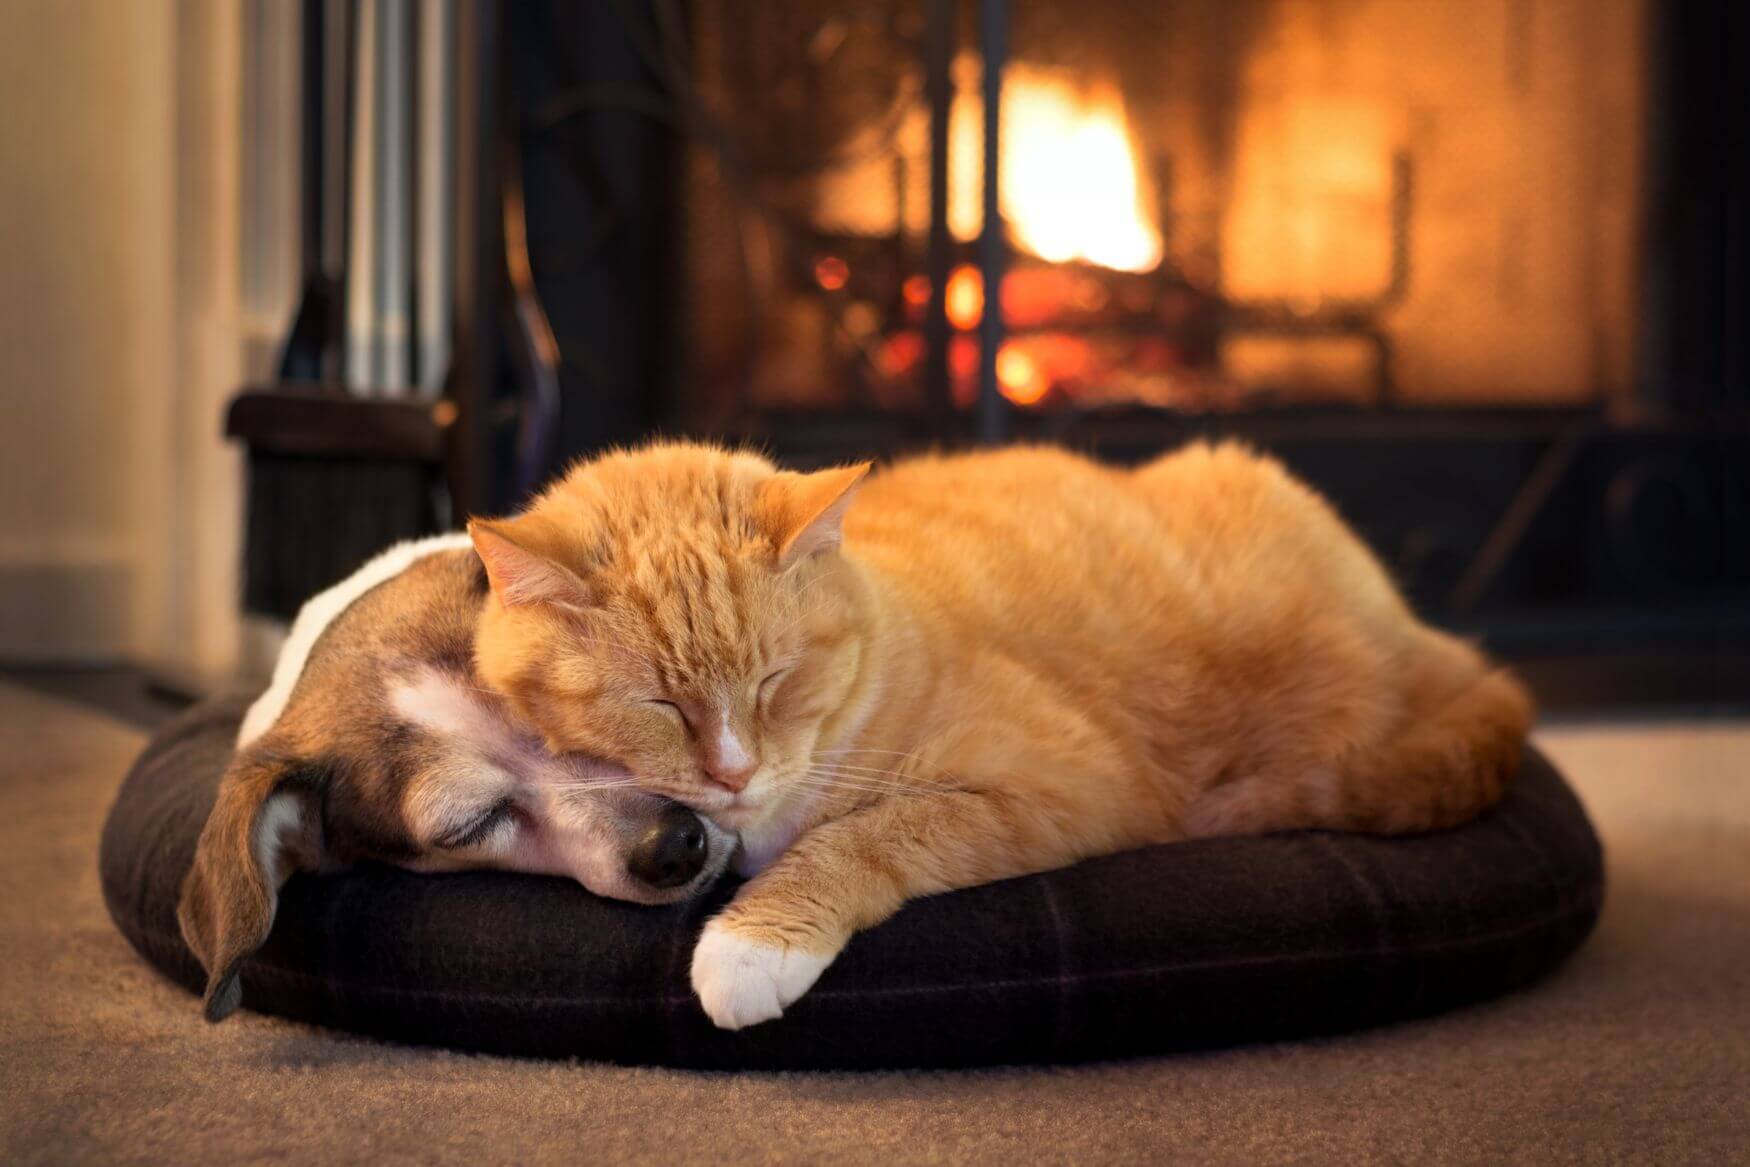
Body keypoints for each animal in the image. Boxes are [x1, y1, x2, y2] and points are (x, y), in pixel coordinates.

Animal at [469, 442, 1533, 1028]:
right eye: (660, 704)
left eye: (776, 679)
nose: (732, 772)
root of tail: (1418, 628)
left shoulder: (1060, 786)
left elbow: (864, 834)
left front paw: (750, 942)